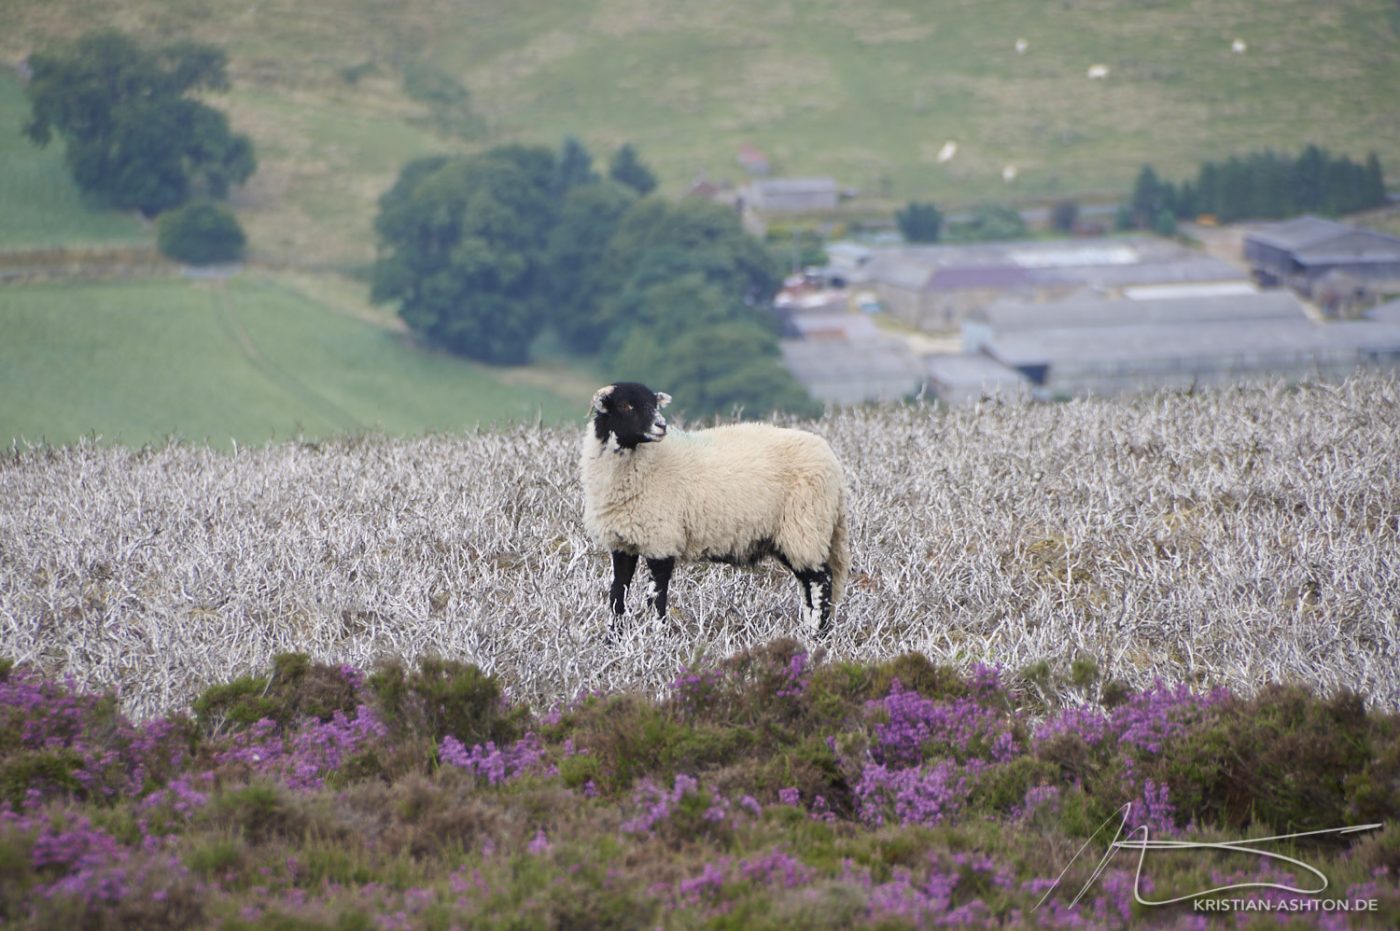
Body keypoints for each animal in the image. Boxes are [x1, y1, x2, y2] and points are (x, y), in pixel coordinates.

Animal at [582, 380, 851, 635]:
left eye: (654, 404)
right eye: (625, 405)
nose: (661, 426)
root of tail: (832, 463)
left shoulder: (662, 539)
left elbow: (656, 596)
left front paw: (654, 636)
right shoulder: (622, 542)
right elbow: (617, 594)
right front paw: (614, 639)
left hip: (806, 525)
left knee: (821, 581)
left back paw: (818, 634)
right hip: (796, 534)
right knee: (808, 583)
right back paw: (806, 630)